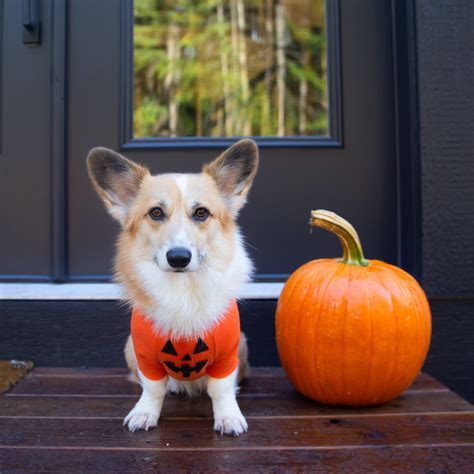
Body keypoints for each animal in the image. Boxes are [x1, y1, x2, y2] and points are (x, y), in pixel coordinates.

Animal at [88, 139, 260, 436]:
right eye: (156, 213)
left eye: (201, 213)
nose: (179, 258)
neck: (184, 290)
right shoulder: (145, 355)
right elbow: (153, 389)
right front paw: (144, 413)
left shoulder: (228, 354)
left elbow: (221, 389)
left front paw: (228, 417)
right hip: (129, 347)